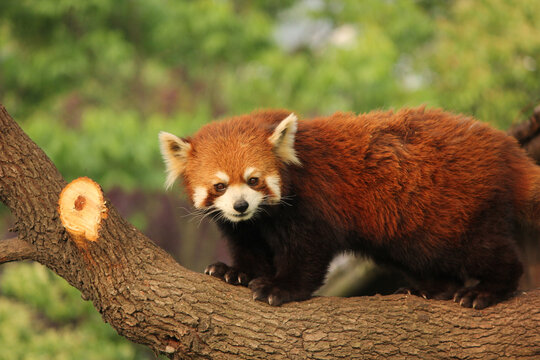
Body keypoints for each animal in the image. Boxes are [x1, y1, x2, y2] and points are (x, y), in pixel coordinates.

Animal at [159, 107, 536, 310]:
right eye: (220, 186)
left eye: (253, 180)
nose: (241, 205)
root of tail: (507, 146)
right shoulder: (245, 225)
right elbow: (248, 246)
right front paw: (236, 272)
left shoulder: (312, 204)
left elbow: (308, 253)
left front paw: (280, 288)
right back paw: (431, 288)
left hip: (457, 209)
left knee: (485, 251)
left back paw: (485, 291)